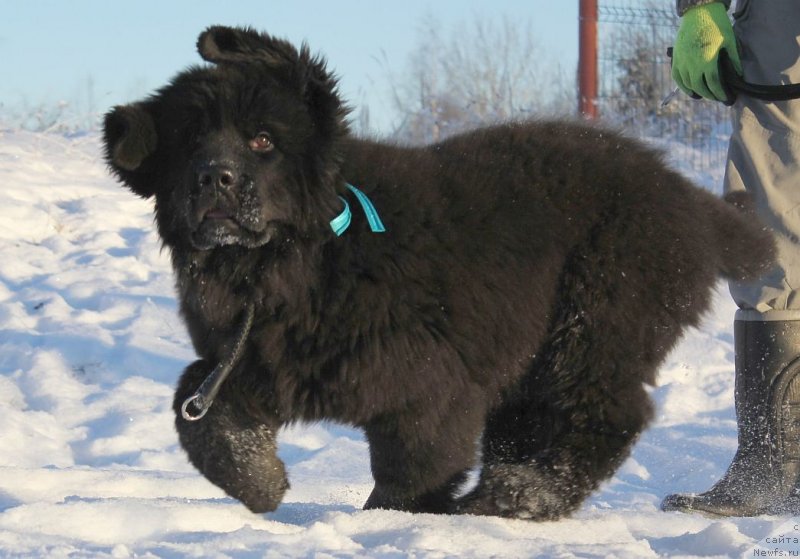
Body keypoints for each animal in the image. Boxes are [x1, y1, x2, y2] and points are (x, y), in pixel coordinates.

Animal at [103, 26, 780, 520]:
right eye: (189, 144)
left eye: (263, 141)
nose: (214, 178)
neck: (298, 258)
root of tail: (688, 200)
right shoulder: (250, 355)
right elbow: (195, 405)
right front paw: (261, 482)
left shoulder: (429, 383)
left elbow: (413, 469)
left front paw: (393, 522)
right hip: (536, 355)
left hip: (597, 320)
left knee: (607, 412)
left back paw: (517, 497)